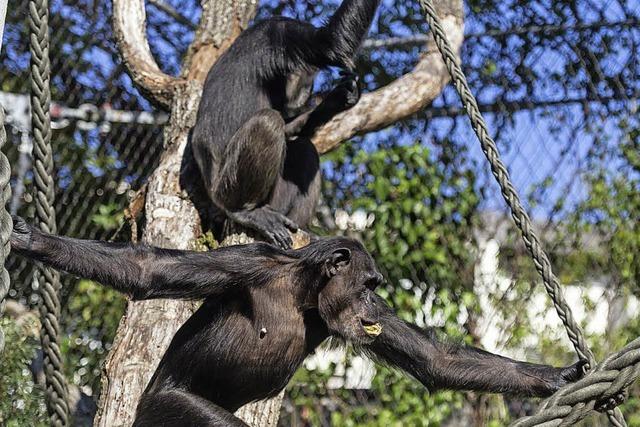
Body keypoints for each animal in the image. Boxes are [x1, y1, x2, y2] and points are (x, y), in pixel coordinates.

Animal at [10, 219, 584, 426]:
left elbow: (436, 359)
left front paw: (559, 376)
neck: (301, 292)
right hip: (164, 409)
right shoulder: (247, 262)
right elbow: (146, 270)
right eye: (368, 281)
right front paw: (31, 240)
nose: (370, 298)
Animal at [190, 0, 380, 249]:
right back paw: (245, 210)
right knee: (269, 122)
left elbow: (290, 127)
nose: (306, 87)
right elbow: (330, 42)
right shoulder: (280, 34)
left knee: (304, 149)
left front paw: (337, 98)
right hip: (226, 190)